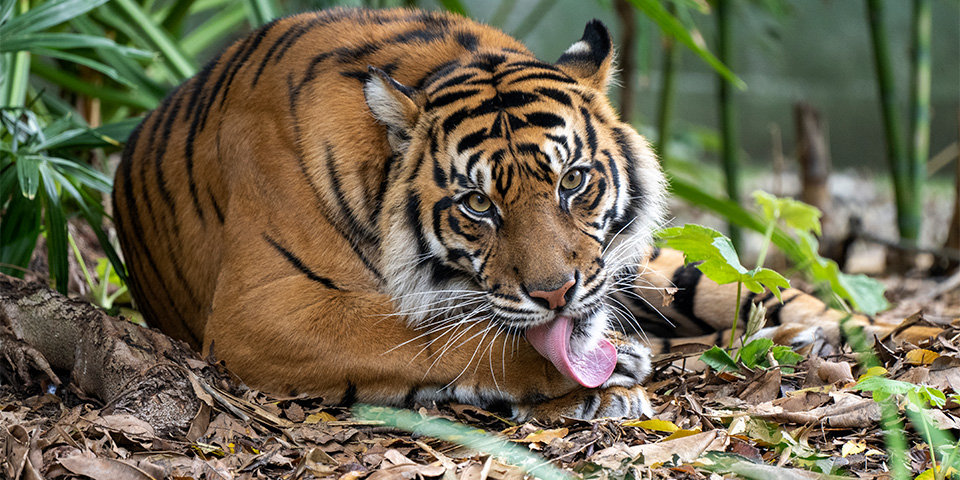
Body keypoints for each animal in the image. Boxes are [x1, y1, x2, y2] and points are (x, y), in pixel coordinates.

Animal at [110, 6, 936, 420]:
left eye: (573, 181)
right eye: (478, 204)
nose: (555, 292)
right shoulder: (259, 309)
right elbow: (428, 335)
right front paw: (602, 376)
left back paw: (863, 335)